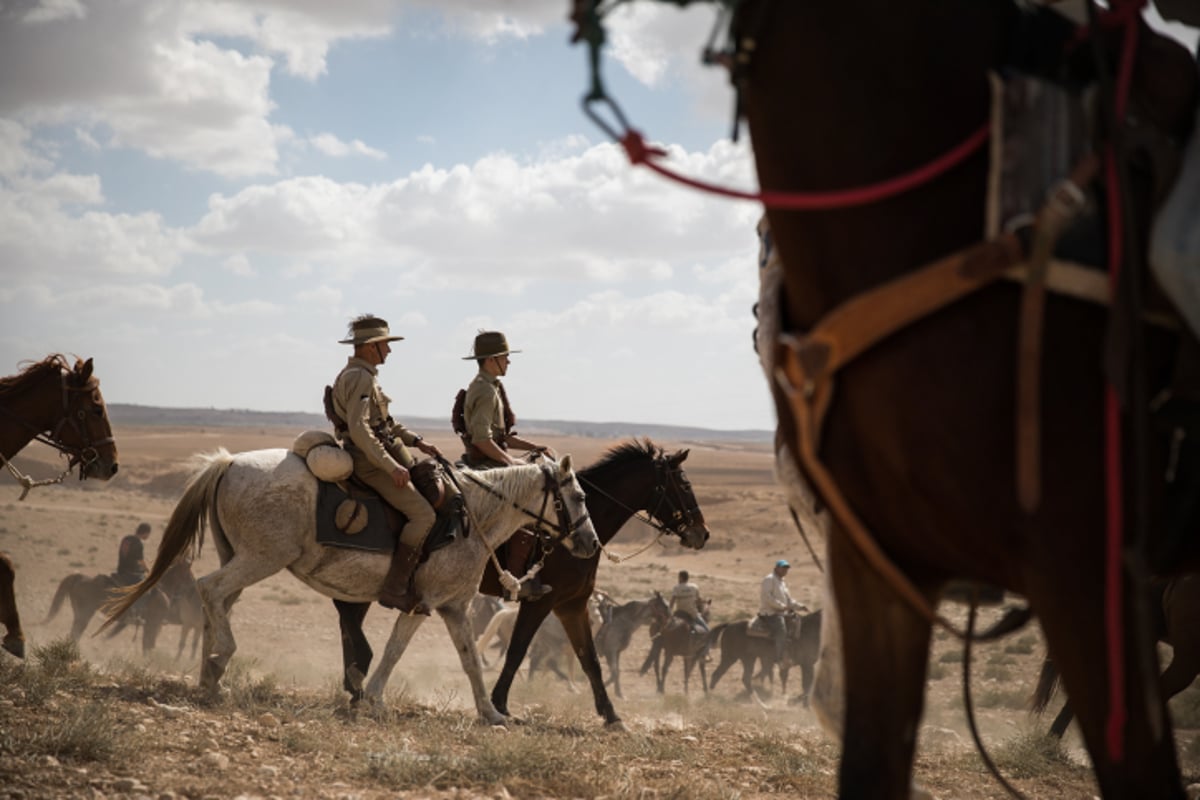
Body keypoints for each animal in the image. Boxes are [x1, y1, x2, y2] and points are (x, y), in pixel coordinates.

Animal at [105, 450, 597, 724]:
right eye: (577, 497)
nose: (591, 543)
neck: (471, 516)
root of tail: (227, 463)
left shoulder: (454, 608)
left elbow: (471, 661)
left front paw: (491, 714)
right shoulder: (423, 604)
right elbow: (395, 651)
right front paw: (374, 699)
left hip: (239, 556)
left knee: (220, 601)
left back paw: (210, 676)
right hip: (260, 559)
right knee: (210, 589)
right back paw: (220, 660)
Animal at [333, 441, 705, 729]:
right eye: (684, 485)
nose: (702, 533)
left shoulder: (573, 606)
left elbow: (590, 659)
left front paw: (612, 716)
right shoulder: (540, 602)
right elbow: (517, 650)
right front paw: (499, 704)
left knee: (349, 624)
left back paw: (354, 685)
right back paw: (356, 685)